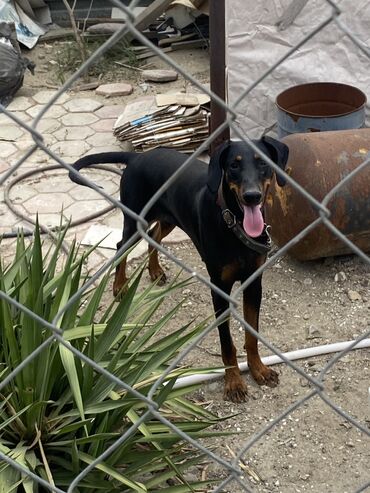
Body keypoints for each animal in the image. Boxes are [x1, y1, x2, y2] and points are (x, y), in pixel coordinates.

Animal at [69, 136, 290, 402]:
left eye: (263, 163)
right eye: (234, 166)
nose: (252, 196)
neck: (234, 223)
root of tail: (137, 157)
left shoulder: (254, 283)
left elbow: (252, 334)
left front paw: (258, 369)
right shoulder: (219, 287)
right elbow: (226, 342)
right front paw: (234, 383)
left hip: (168, 218)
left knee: (154, 236)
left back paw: (155, 271)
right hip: (135, 218)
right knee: (122, 244)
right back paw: (120, 286)